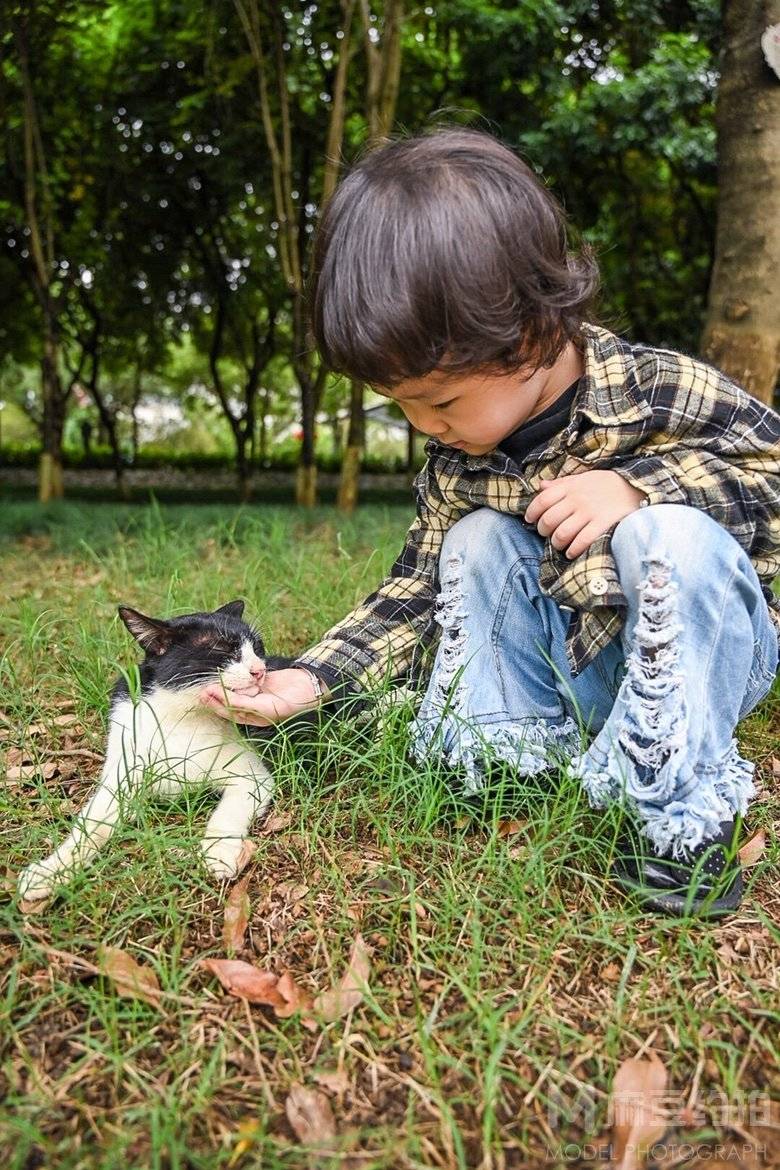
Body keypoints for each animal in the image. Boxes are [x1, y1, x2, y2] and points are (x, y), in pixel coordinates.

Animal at [17, 599, 284, 898]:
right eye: (221, 648)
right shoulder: (121, 777)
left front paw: (219, 853)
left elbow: (227, 813)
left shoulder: (252, 777)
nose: (259, 670)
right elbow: (89, 828)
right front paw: (48, 872)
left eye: (258, 648)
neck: (182, 717)